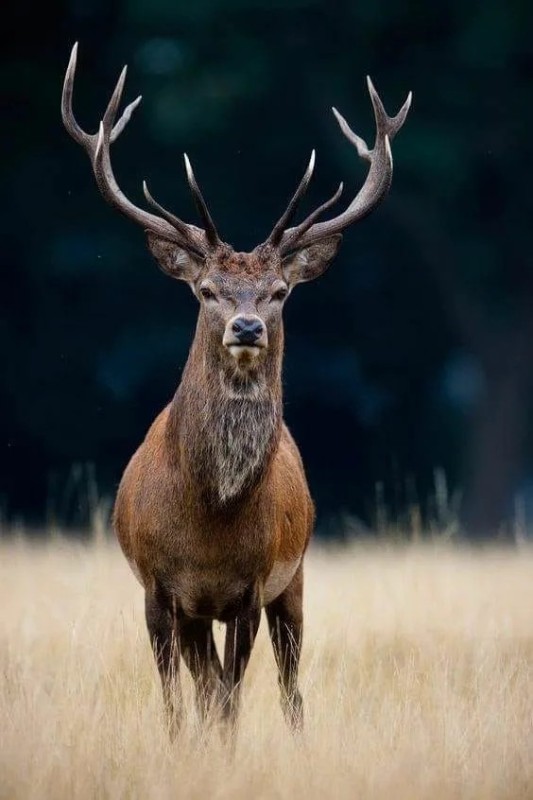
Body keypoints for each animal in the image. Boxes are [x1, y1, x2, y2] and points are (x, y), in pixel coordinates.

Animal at [62, 42, 412, 732]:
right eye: (206, 290)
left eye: (278, 292)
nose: (246, 325)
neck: (208, 520)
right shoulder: (159, 590)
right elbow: (179, 703)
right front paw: (180, 746)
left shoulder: (251, 588)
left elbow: (230, 701)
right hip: (203, 613)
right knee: (205, 685)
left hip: (295, 579)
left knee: (289, 687)